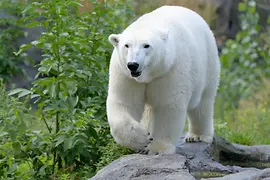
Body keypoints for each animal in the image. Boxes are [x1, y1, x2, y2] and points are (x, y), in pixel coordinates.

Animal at [105, 5, 219, 155]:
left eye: (146, 45)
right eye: (127, 45)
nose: (133, 65)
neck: (148, 75)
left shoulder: (170, 70)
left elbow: (168, 105)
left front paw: (157, 148)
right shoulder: (125, 74)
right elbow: (124, 102)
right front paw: (142, 137)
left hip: (208, 62)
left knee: (203, 102)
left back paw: (198, 135)